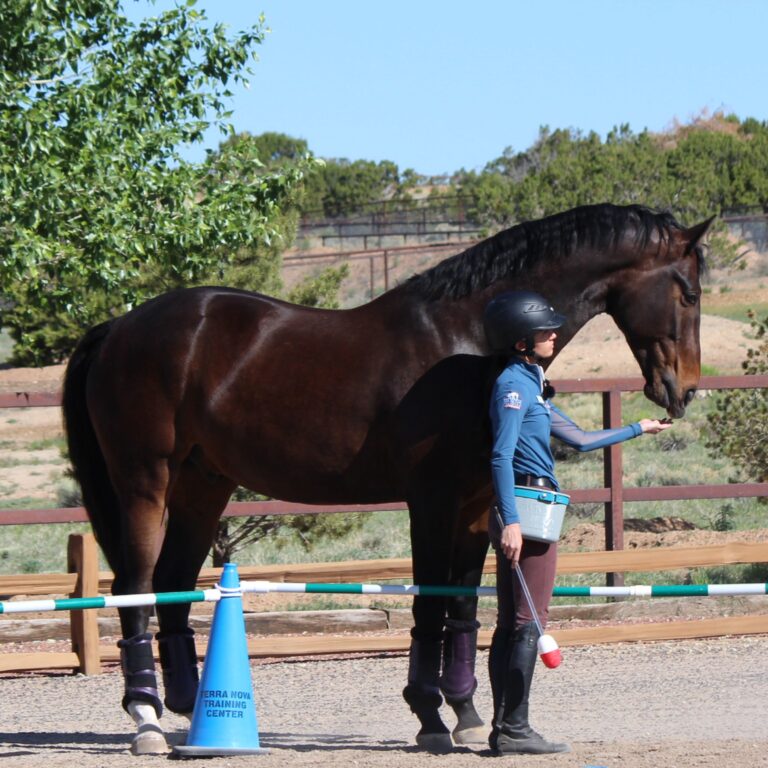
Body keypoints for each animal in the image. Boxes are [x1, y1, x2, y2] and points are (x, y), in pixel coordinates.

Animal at [62, 203, 712, 754]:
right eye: (688, 292)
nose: (683, 390)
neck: (469, 342)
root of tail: (119, 327)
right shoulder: (431, 500)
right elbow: (430, 603)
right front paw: (429, 716)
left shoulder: (477, 505)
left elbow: (462, 608)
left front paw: (467, 715)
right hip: (145, 484)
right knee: (135, 590)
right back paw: (145, 719)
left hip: (203, 488)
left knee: (172, 586)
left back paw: (194, 711)